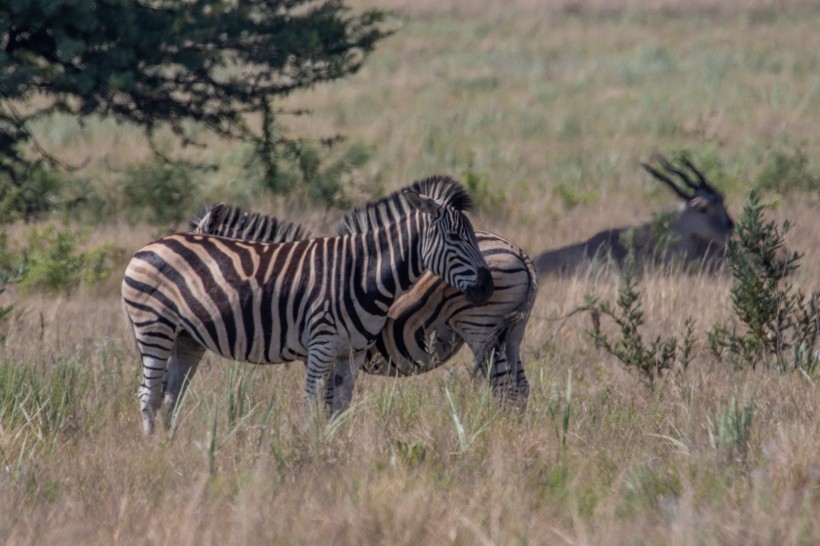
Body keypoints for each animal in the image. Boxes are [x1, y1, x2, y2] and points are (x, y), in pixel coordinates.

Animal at [121, 174, 494, 434]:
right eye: (455, 237)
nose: (487, 287)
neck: (362, 273)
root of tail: (149, 246)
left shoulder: (350, 353)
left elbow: (338, 409)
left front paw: (335, 449)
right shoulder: (320, 347)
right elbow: (312, 404)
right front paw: (308, 448)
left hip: (185, 339)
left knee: (168, 396)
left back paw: (170, 447)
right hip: (154, 328)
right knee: (148, 394)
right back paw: (154, 451)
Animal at [191, 200, 540, 404]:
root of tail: (518, 251)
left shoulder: (321, 347)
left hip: (480, 329)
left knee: (504, 390)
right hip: (513, 334)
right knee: (521, 390)